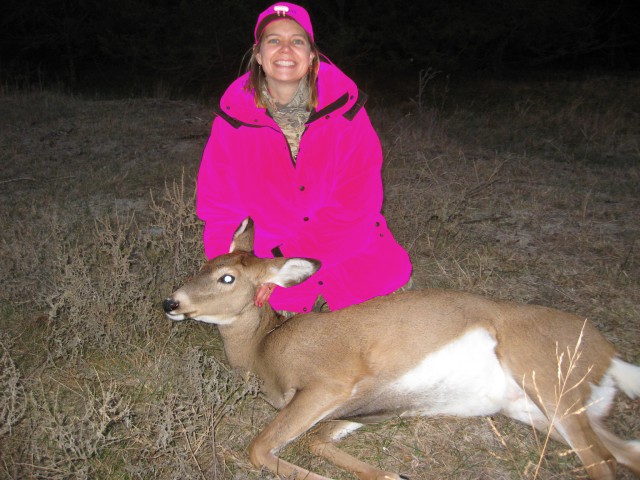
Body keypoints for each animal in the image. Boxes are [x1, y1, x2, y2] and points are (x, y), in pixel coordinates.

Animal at [161, 218, 640, 480]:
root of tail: (610, 354)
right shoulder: (367, 407)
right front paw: (392, 472)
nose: (171, 303)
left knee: (601, 463)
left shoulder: (331, 381)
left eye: (227, 278)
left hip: (546, 375)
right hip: (537, 408)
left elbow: (260, 448)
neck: (265, 350)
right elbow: (316, 440)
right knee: (625, 452)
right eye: (204, 265)